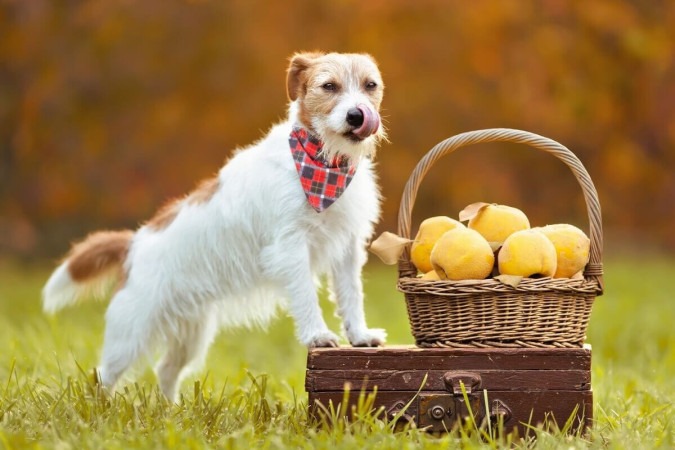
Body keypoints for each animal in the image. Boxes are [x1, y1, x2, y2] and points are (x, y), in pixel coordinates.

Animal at [42, 51, 388, 400]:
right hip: (130, 335)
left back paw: (171, 410)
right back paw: (101, 407)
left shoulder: (347, 248)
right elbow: (306, 295)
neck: (324, 167)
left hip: (191, 334)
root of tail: (134, 243)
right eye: (329, 86)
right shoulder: (291, 248)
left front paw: (360, 335)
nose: (357, 115)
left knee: (165, 370)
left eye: (370, 85)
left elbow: (351, 295)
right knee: (102, 376)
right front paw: (316, 335)